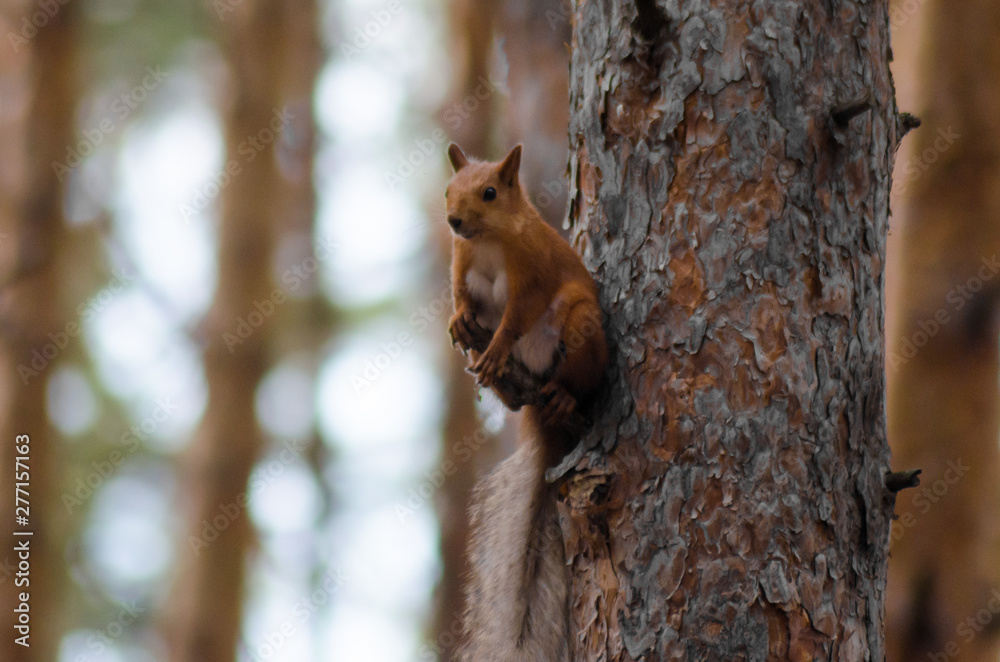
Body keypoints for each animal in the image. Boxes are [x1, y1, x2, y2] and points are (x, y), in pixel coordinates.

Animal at [444, 143, 608, 662]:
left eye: (490, 192)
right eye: (448, 190)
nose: (454, 221)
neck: (489, 241)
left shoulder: (531, 272)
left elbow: (517, 315)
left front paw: (499, 344)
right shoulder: (461, 263)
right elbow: (461, 296)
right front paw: (459, 320)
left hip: (579, 325)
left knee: (575, 380)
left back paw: (560, 395)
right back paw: (497, 379)